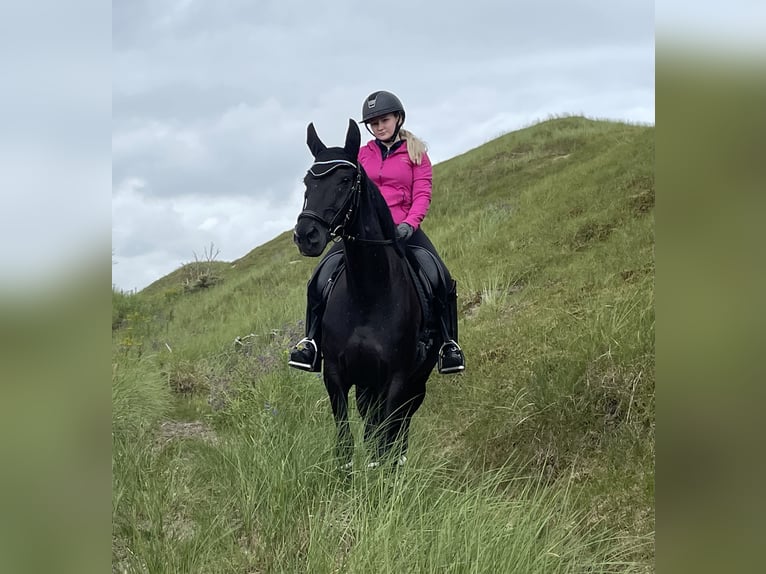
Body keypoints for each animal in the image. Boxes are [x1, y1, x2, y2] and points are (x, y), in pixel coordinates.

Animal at [292, 119, 440, 470]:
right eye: (307, 181)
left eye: (346, 180)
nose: (306, 236)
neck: (367, 296)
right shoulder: (336, 376)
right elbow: (346, 446)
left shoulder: (396, 379)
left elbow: (385, 443)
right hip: (366, 385)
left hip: (415, 384)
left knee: (399, 429)